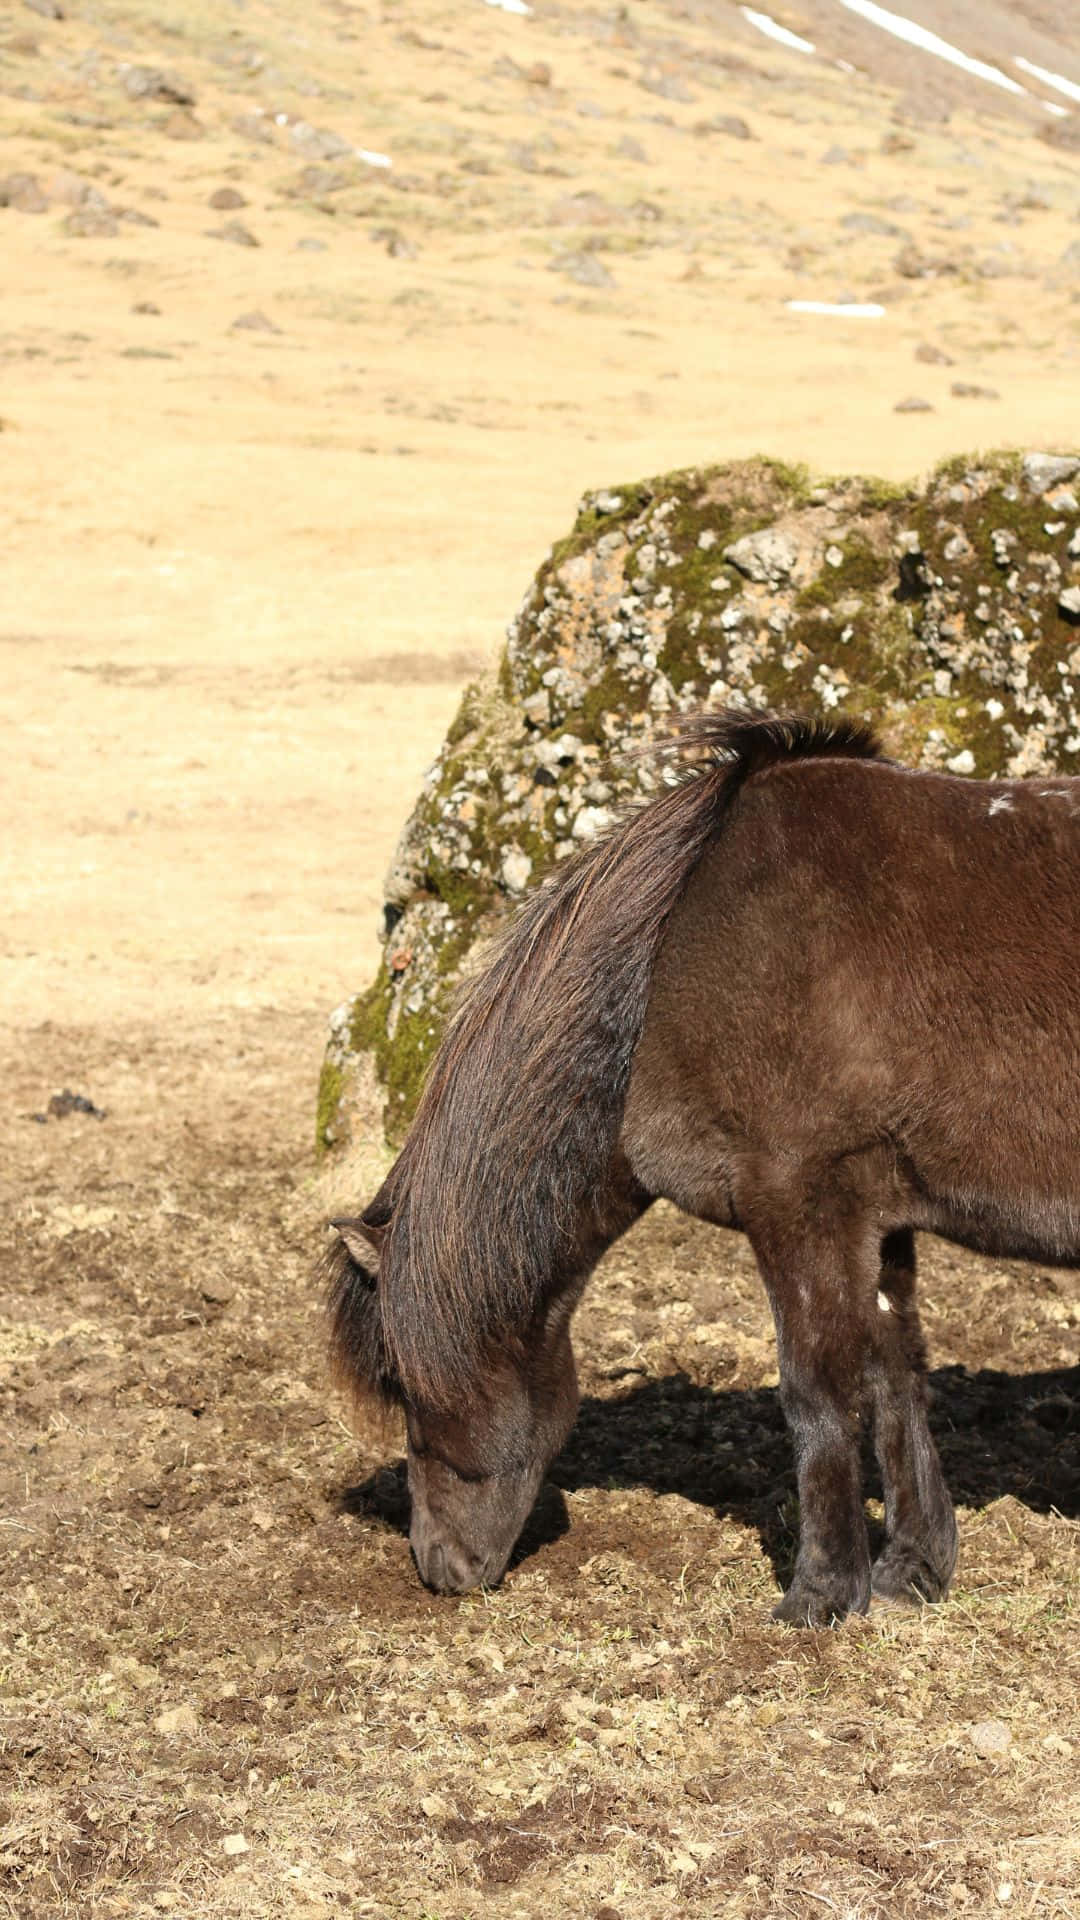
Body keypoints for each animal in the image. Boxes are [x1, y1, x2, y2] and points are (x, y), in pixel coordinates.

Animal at [327, 708, 1080, 1625]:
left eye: (400, 1383)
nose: (439, 1567)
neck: (670, 966)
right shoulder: (877, 1215)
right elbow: (895, 1377)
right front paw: (911, 1572)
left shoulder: (796, 1202)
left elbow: (816, 1391)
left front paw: (818, 1597)